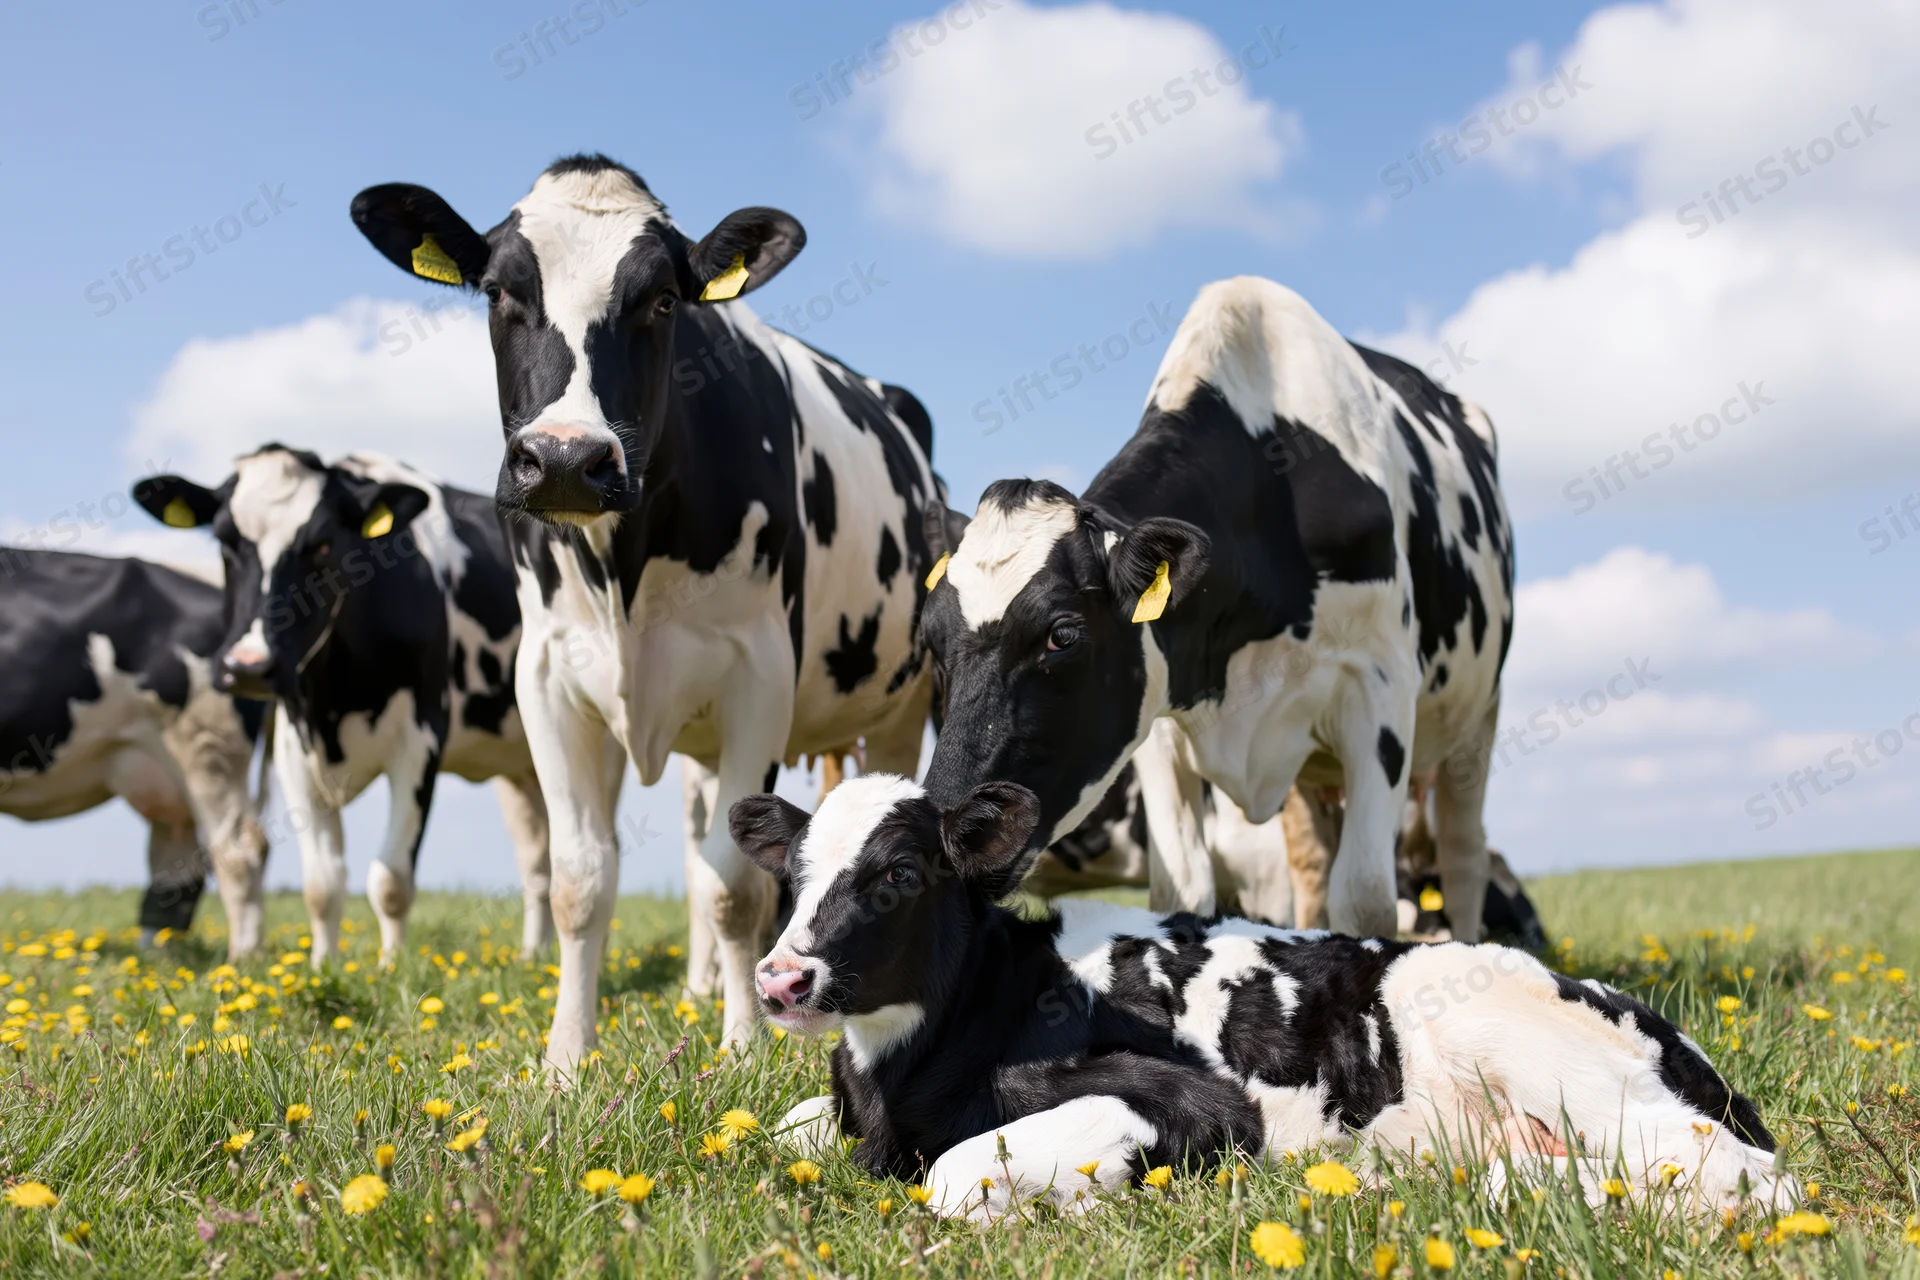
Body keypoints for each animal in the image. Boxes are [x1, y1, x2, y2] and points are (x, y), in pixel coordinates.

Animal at [134, 447, 553, 961]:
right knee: (538, 859)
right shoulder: (293, 752)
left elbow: (391, 881)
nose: (248, 667)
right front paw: (322, 964)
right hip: (522, 764)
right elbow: (322, 885)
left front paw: (391, 966)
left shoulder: (420, 744)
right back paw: (535, 953)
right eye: (224, 540)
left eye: (322, 544)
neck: (333, 701)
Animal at [348, 155, 941, 1065]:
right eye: (498, 292)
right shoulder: (548, 680)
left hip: (899, 706)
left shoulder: (759, 676)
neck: (622, 571)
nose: (564, 459)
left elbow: (736, 886)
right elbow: (583, 879)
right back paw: (696, 986)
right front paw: (565, 1058)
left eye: (663, 300)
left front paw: (741, 1047)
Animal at [733, 775, 1789, 1223]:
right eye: (794, 872)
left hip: (1524, 1039)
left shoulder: (1202, 1104)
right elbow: (776, 1123)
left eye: (902, 873)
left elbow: (956, 1177)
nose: (782, 978)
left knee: (1737, 1176)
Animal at [920, 276, 1515, 941]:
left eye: (1063, 635)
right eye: (930, 637)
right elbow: (1182, 889)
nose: (951, 835)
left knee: (1463, 857)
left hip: (1477, 717)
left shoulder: (1377, 689)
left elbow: (1365, 901)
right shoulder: (1157, 711)